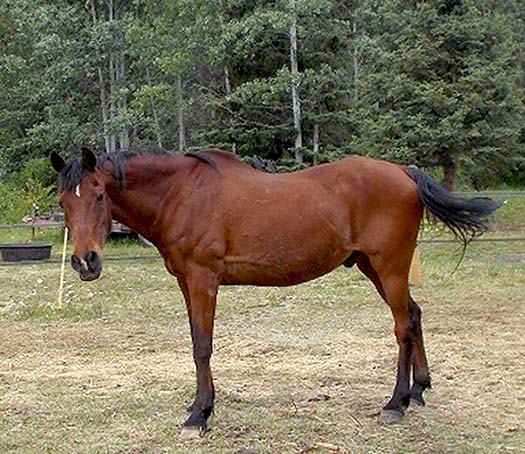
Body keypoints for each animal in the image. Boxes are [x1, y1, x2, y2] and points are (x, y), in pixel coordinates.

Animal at [51, 148, 502, 436]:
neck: (181, 194)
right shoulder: (185, 281)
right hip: (374, 267)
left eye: (99, 195)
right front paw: (200, 406)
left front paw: (200, 415)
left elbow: (202, 346)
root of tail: (404, 173)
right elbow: (196, 341)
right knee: (415, 314)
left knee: (403, 326)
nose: (85, 261)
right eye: (63, 201)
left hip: (390, 266)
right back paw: (419, 390)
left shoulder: (203, 280)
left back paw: (396, 403)